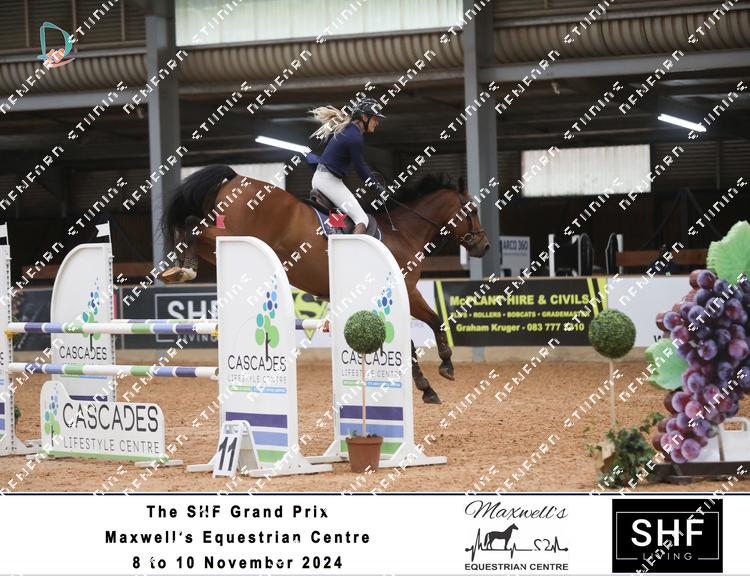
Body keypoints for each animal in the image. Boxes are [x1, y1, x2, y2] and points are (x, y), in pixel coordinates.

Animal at [159, 164, 490, 404]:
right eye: (472, 210)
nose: (483, 247)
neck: (404, 233)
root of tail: (237, 177)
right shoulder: (407, 290)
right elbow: (433, 322)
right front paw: (441, 372)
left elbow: (409, 337)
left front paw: (427, 382)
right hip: (232, 235)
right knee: (193, 224)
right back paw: (182, 269)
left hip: (220, 245)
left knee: (192, 226)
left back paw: (181, 269)